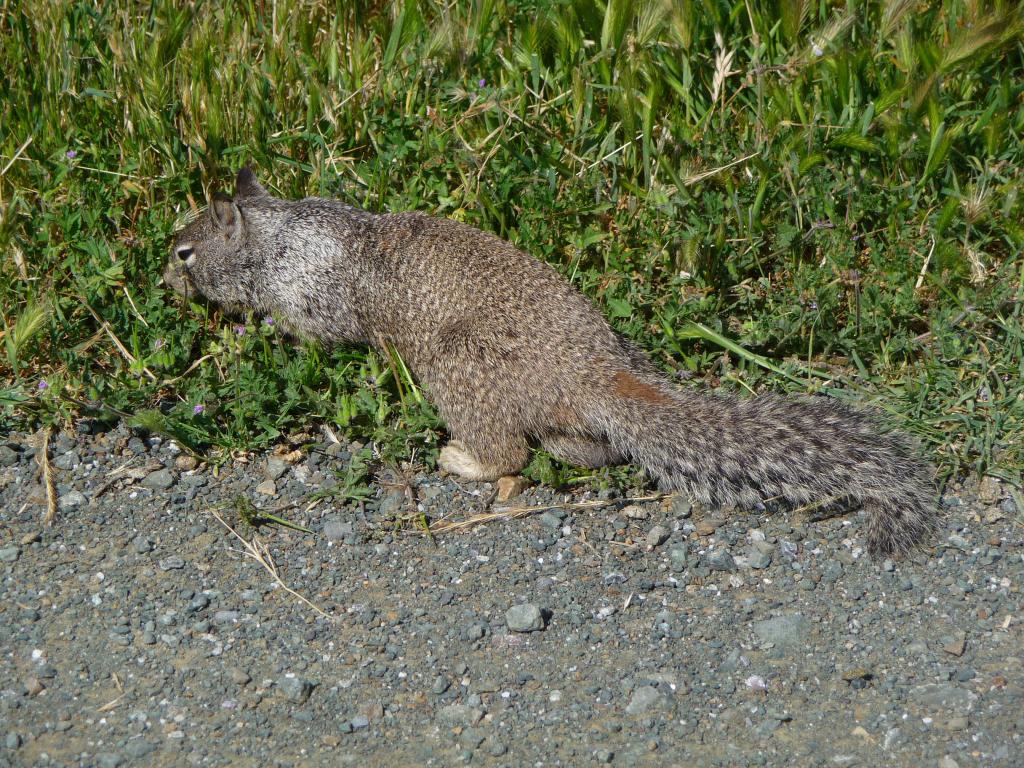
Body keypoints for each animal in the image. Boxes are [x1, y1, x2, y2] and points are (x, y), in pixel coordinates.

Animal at [165, 167, 937, 557]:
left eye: (185, 251)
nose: (162, 279)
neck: (281, 235)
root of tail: (591, 374)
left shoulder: (316, 300)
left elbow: (314, 334)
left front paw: (257, 331)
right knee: (582, 448)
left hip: (457, 369)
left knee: (510, 452)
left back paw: (461, 459)